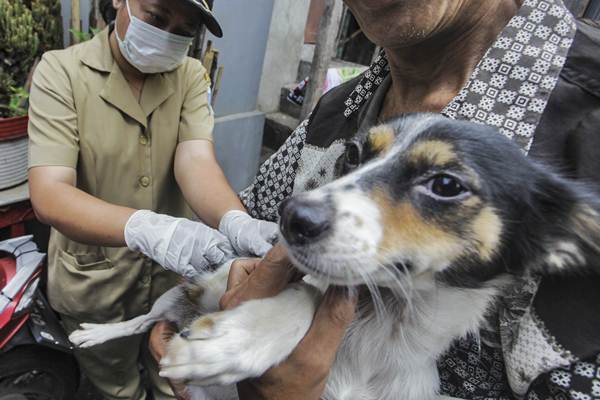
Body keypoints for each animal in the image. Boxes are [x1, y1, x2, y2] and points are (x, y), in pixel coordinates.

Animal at [70, 114, 600, 400]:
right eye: (354, 155)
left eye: (446, 184)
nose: (291, 217)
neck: (384, 323)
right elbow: (307, 294)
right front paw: (240, 337)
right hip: (180, 295)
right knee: (140, 321)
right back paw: (94, 332)